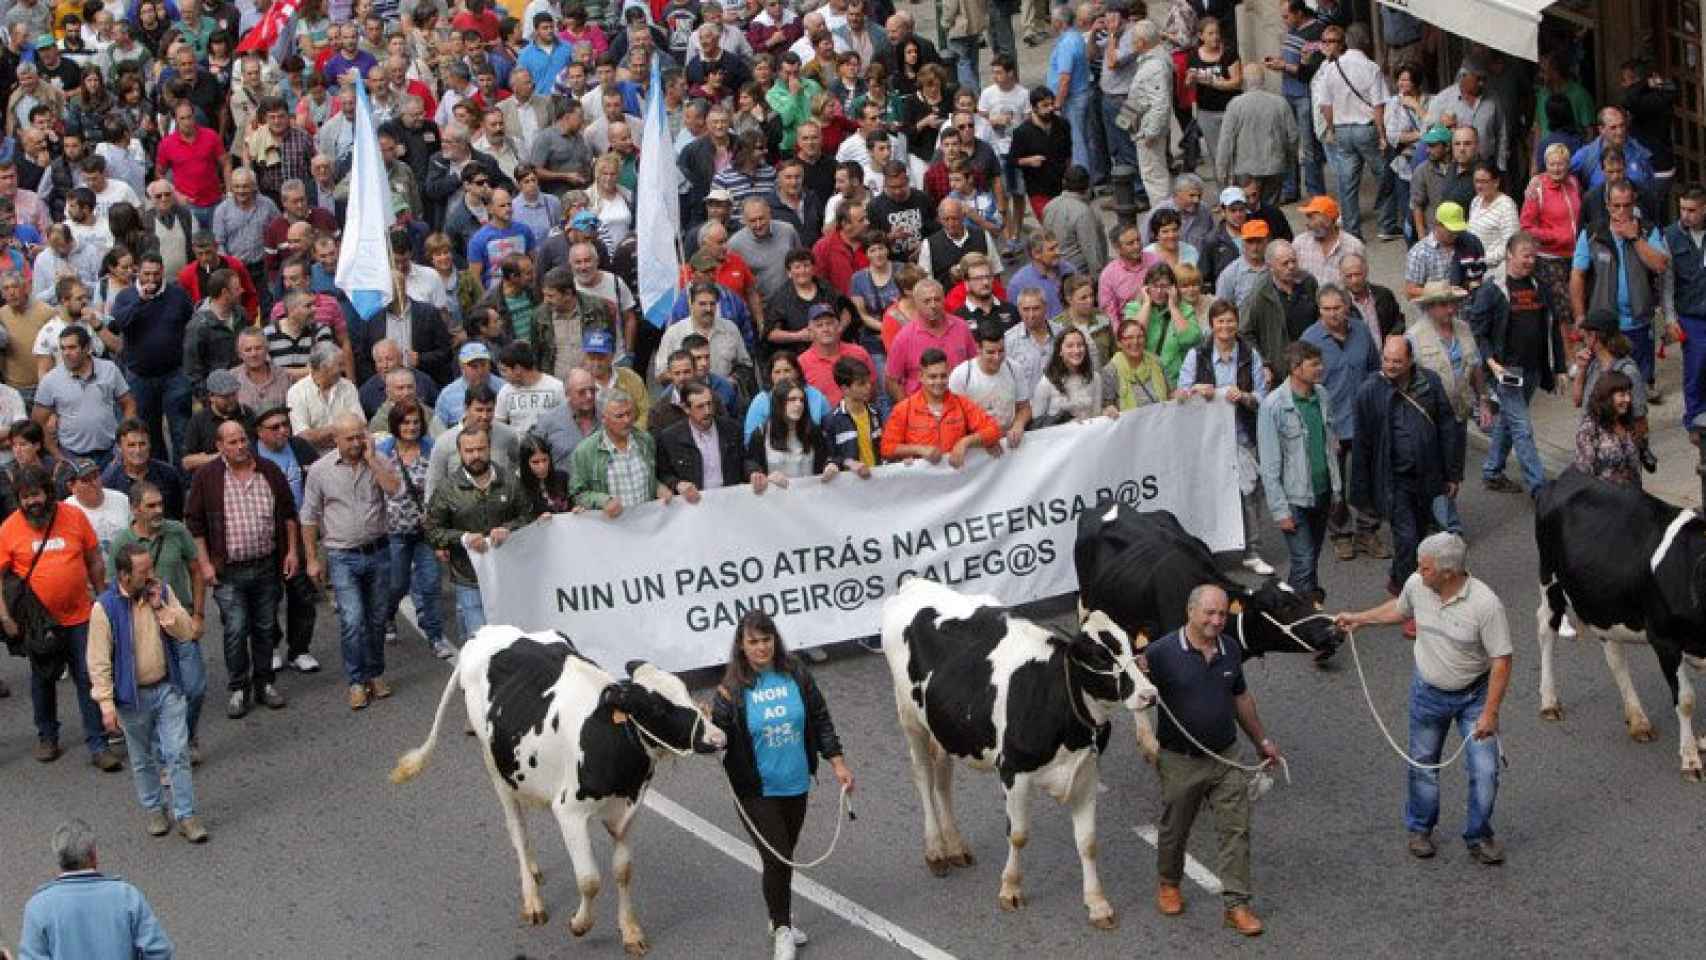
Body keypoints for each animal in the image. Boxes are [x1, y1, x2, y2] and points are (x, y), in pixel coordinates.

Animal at [392, 624, 726, 954]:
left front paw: (631, 931)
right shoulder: (569, 812)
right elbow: (590, 879)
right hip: (496, 769)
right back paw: (532, 900)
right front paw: (580, 924)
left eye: (685, 691)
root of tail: (483, 632)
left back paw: (534, 869)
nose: (718, 738)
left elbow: (623, 871)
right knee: (517, 829)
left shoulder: (626, 812)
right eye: (657, 708)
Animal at [880, 579, 1160, 934]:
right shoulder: (1014, 772)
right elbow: (1019, 834)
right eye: (1100, 657)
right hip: (909, 716)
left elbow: (1088, 842)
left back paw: (955, 845)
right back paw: (936, 851)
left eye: (1131, 646)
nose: (1150, 694)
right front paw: (1011, 889)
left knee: (943, 778)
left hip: (944, 724)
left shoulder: (1086, 772)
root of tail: (914, 583)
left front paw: (1097, 904)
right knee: (923, 778)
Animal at [1535, 470, 1706, 780]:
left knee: (1614, 657)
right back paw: (1550, 702)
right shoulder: (1665, 641)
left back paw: (1638, 720)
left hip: (1602, 603)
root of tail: (1566, 476)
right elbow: (1686, 700)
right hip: (1550, 580)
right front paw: (1690, 758)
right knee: (1545, 628)